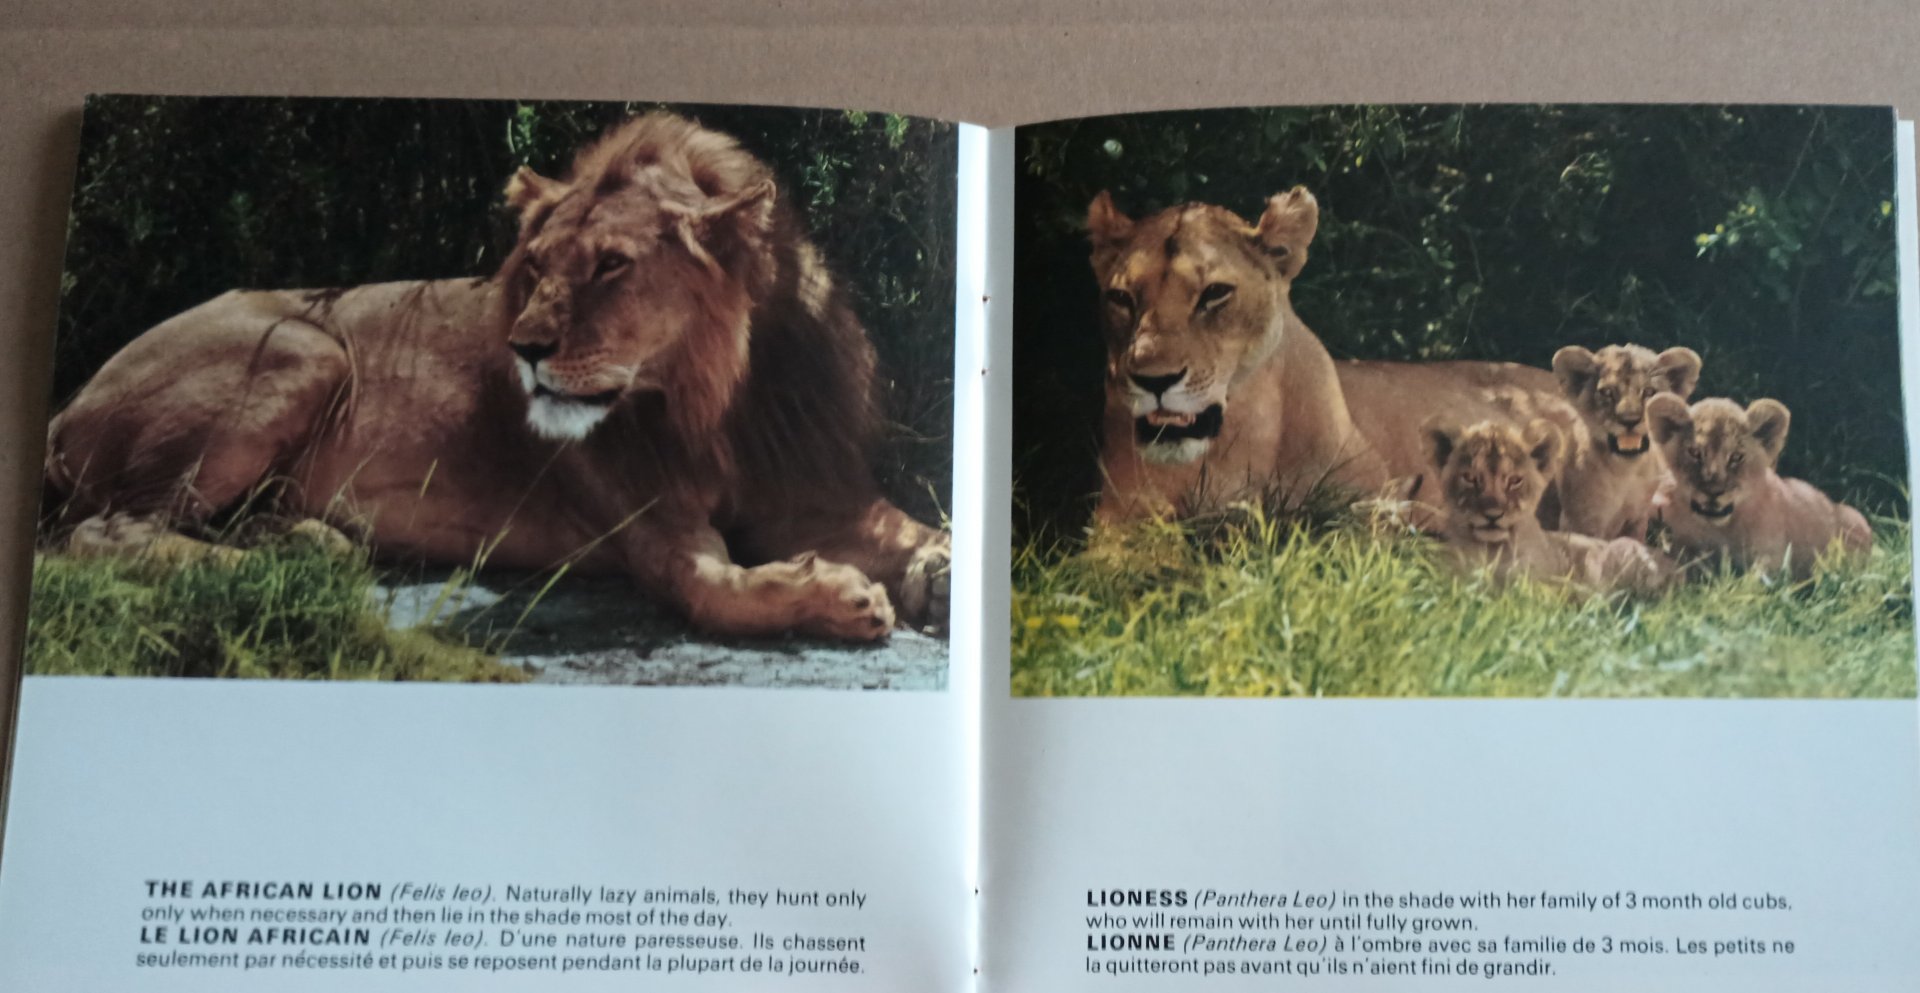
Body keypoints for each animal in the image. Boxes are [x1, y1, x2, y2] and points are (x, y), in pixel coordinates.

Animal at [43, 112, 949, 642]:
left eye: (612, 265)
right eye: (538, 265)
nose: (522, 348)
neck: (714, 401)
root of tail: (67, 403)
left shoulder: (815, 495)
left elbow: (918, 526)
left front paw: (937, 576)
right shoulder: (653, 528)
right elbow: (715, 585)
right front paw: (843, 596)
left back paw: (304, 539)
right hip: (305, 345)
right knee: (103, 534)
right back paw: (285, 567)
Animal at [1548, 343, 1701, 539]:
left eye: (1649, 392)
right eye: (1607, 392)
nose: (1629, 420)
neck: (1626, 473)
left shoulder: (1637, 518)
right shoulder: (1579, 521)